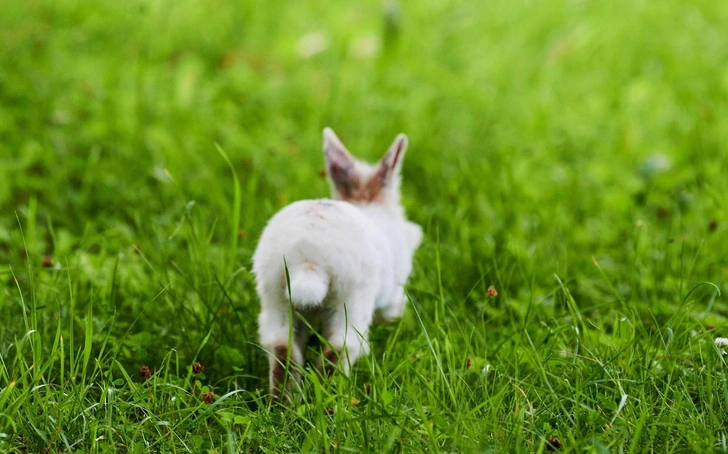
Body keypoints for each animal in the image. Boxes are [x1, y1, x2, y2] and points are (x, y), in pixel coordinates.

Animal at [255, 127, 420, 398]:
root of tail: (309, 258)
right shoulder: (394, 293)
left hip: (276, 298)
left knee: (282, 349)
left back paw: (282, 403)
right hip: (351, 301)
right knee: (339, 348)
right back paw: (329, 397)